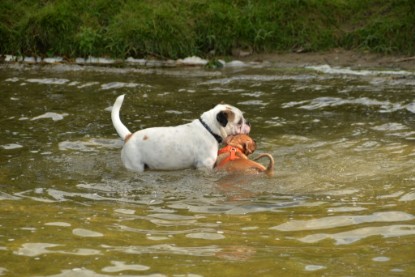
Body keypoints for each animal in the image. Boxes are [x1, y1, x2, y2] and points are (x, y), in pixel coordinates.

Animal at [110, 96, 252, 171]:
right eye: (239, 122)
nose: (248, 122)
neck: (209, 129)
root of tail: (129, 136)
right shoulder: (205, 165)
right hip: (135, 165)